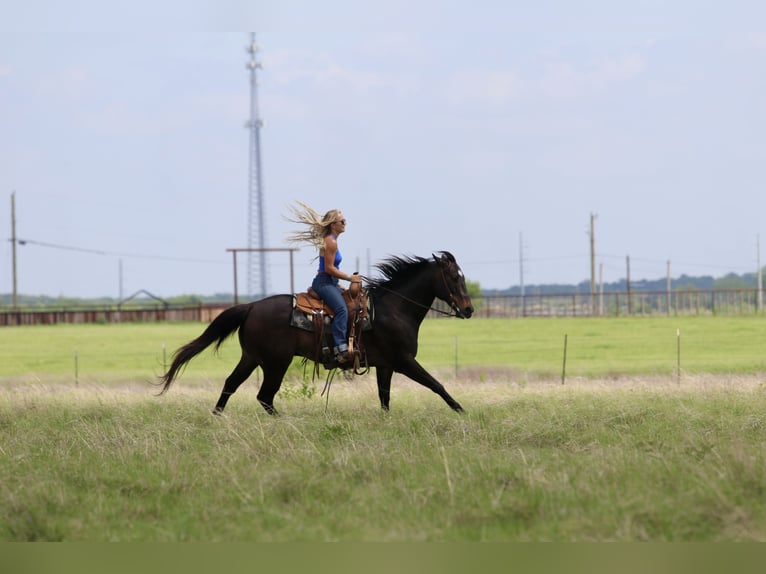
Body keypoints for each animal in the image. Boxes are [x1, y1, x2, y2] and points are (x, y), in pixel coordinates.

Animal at [158, 251, 474, 415]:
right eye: (454, 277)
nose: (469, 309)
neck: (393, 309)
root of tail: (251, 307)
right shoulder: (404, 361)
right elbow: (437, 385)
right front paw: (461, 411)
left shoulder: (386, 366)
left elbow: (385, 399)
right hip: (276, 363)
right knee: (265, 396)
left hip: (252, 358)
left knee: (231, 385)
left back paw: (217, 417)